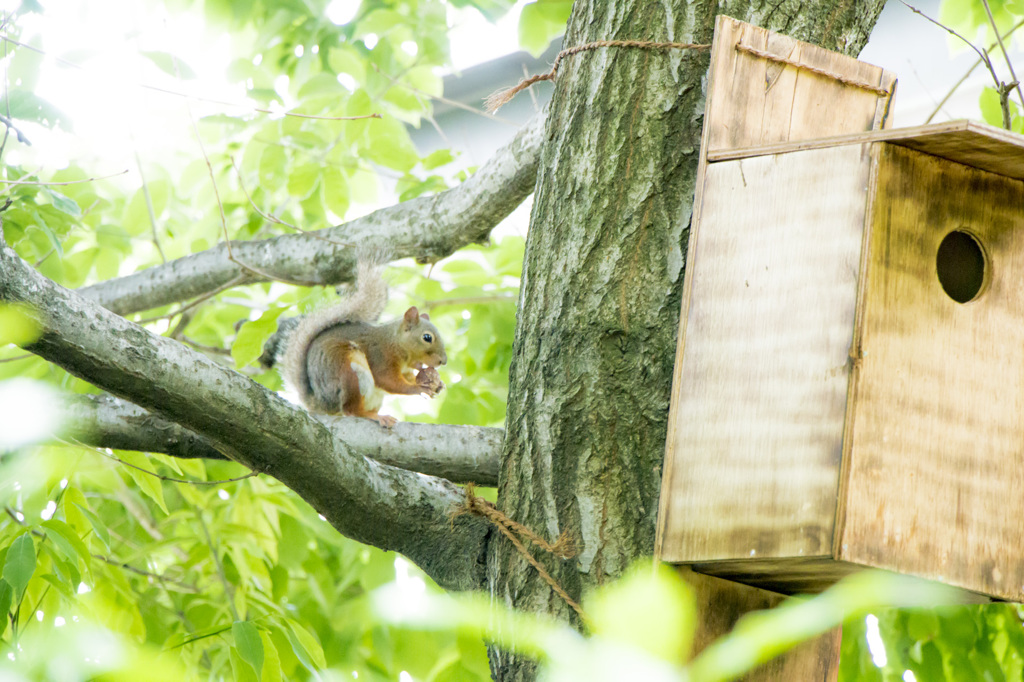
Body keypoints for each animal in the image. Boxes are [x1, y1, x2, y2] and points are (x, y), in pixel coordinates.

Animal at [272, 259, 448, 425]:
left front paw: (434, 382)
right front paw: (417, 387)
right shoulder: (380, 356)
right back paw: (375, 416)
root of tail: (320, 403)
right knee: (350, 409)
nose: (443, 361)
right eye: (427, 337)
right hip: (351, 374)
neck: (395, 343)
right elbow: (388, 381)